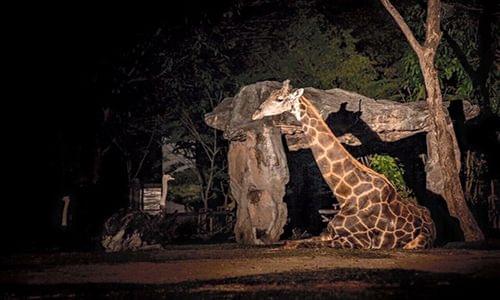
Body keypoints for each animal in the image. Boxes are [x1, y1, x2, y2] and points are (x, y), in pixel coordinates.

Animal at [252, 79, 436, 248]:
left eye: (280, 99)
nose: (256, 113)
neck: (347, 195)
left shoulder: (359, 241)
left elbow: (299, 245)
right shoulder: (328, 232)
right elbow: (290, 243)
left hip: (416, 243)